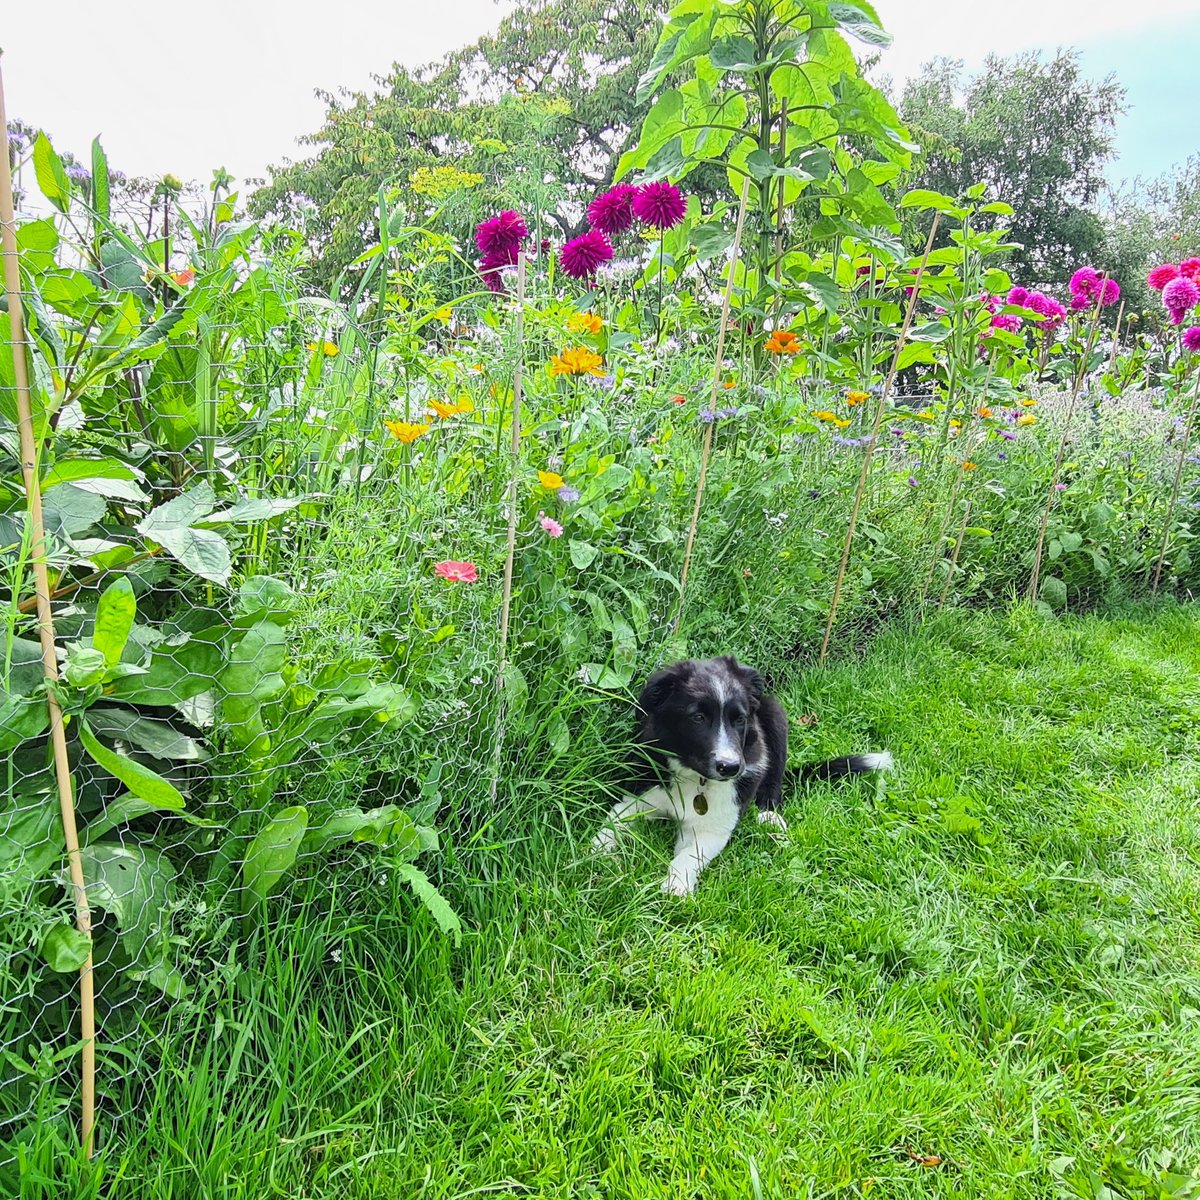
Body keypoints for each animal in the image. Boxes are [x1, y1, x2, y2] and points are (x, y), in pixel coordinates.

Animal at [592, 657, 892, 902]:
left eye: (739, 719)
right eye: (697, 717)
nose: (731, 767)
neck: (696, 779)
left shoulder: (715, 827)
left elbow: (687, 856)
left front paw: (676, 886)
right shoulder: (637, 798)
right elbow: (609, 827)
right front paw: (595, 857)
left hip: (775, 714)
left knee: (774, 778)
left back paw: (770, 816)